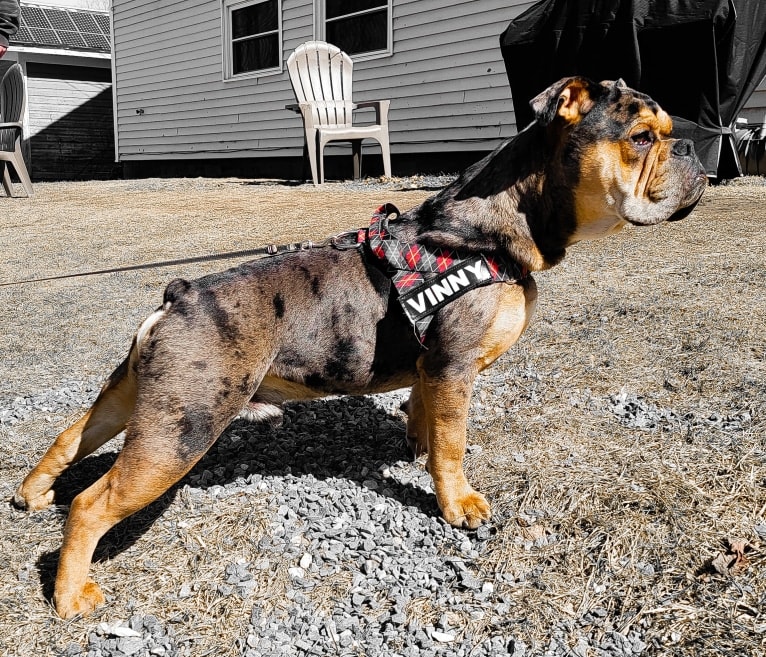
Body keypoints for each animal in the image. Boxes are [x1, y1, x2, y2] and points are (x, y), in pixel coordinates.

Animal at [13, 75, 708, 616]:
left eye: (668, 131)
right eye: (640, 138)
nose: (694, 148)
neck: (497, 225)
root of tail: (182, 293)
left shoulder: (433, 370)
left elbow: (427, 420)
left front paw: (416, 448)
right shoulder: (454, 367)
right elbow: (454, 445)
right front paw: (458, 504)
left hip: (141, 399)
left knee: (74, 433)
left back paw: (33, 493)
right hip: (183, 427)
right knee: (92, 503)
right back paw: (71, 595)